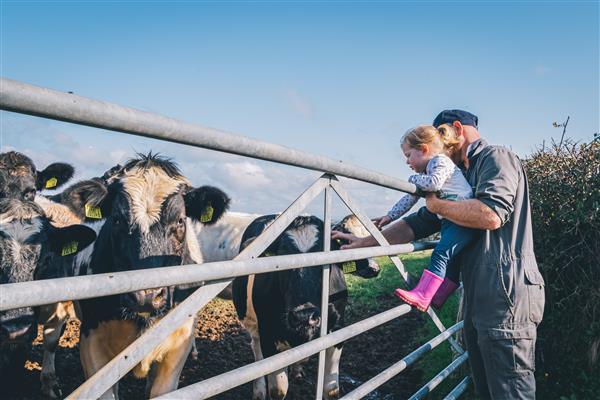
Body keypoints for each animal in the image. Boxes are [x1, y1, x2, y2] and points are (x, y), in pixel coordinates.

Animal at [232, 216, 358, 400]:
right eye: (283, 255)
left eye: (324, 258)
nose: (304, 316)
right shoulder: (268, 333)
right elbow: (278, 389)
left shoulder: (337, 328)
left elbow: (331, 389)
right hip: (252, 323)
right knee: (256, 349)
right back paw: (259, 390)